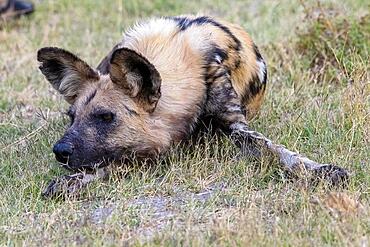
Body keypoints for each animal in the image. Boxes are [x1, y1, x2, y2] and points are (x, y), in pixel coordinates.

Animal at [36, 14, 348, 197]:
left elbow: (279, 152)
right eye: (72, 117)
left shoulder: (236, 127)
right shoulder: (142, 149)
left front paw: (320, 170)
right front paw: (73, 181)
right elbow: (110, 160)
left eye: (105, 116)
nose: (59, 150)